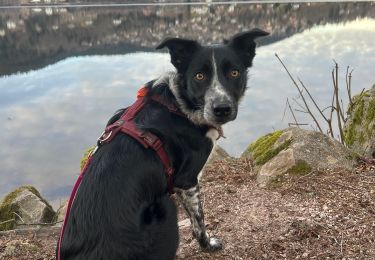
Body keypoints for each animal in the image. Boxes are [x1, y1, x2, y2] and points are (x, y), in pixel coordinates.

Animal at [59, 28, 268, 258]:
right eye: (199, 76)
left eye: (234, 73)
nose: (221, 109)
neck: (179, 105)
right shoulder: (186, 181)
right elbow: (198, 221)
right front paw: (207, 244)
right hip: (166, 208)